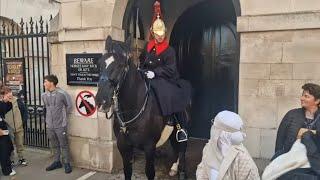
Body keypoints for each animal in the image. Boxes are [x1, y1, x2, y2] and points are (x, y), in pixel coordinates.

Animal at [96, 35, 189, 180]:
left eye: (121, 65)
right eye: (100, 63)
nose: (101, 101)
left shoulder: (149, 148)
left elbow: (150, 172)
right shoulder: (124, 147)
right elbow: (127, 171)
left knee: (182, 149)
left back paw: (182, 171)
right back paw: (174, 168)